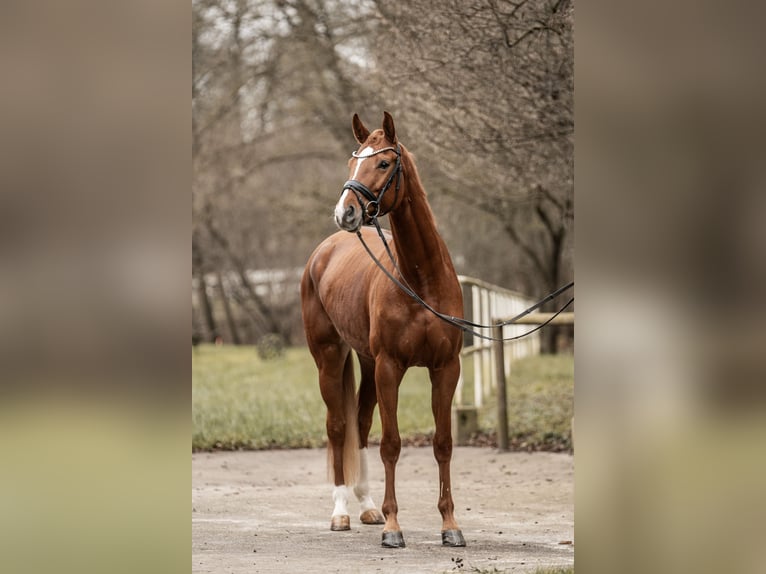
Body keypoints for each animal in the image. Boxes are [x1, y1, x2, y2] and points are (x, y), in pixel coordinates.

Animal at [304, 111, 464, 548]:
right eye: (352, 161)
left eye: (384, 163)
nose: (346, 213)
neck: (421, 280)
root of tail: (325, 250)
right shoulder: (392, 366)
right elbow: (391, 444)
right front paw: (394, 527)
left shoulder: (446, 368)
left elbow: (442, 443)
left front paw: (450, 525)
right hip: (329, 358)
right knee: (338, 427)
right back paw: (341, 512)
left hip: (367, 361)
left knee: (359, 425)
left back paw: (367, 506)